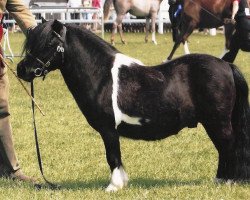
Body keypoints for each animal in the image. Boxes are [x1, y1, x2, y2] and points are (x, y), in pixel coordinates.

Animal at [16, 19, 249, 191]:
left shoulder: (108, 129)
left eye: (48, 44)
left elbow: (112, 156)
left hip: (217, 122)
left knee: (228, 147)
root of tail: (226, 65)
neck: (101, 76)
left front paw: (114, 186)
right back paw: (219, 180)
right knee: (223, 148)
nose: (22, 70)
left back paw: (227, 181)